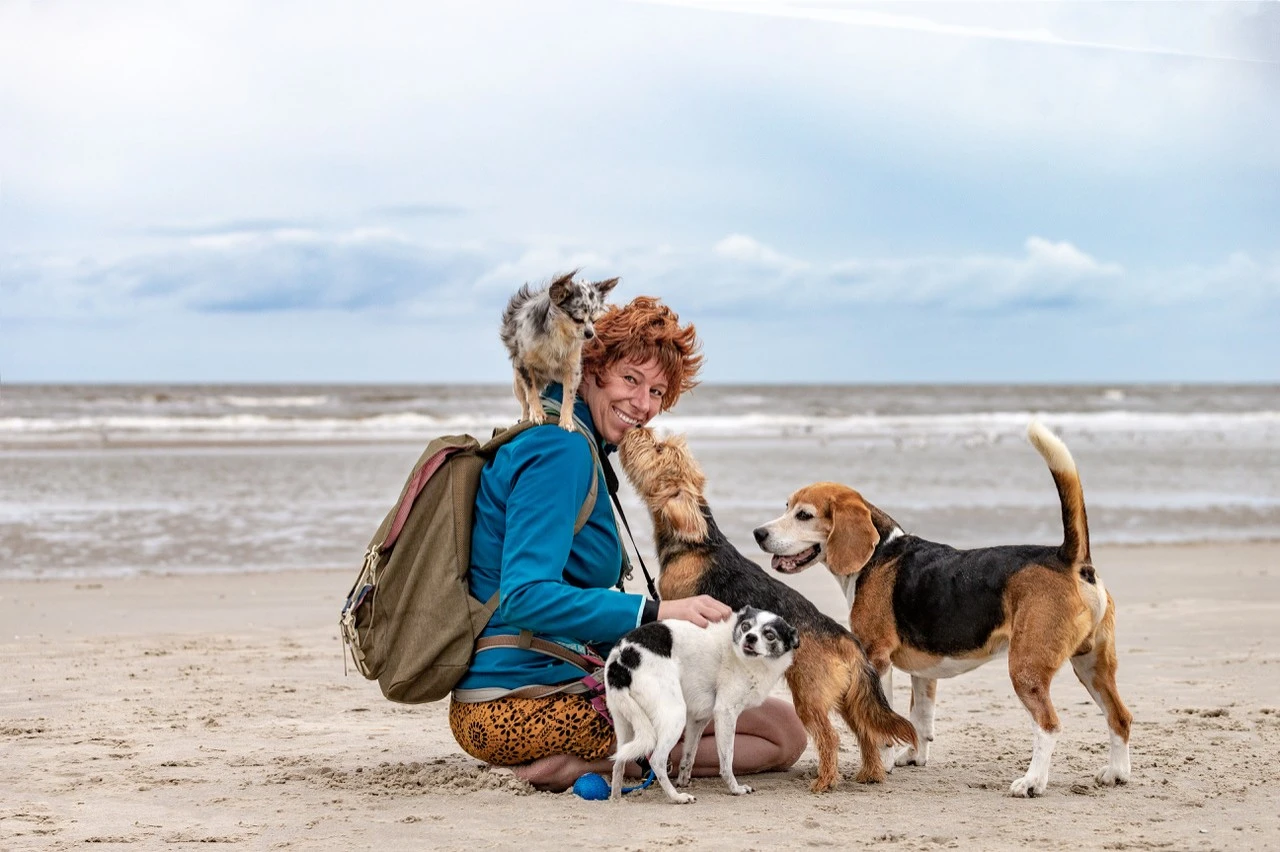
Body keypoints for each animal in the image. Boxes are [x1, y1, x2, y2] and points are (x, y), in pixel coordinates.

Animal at [499, 272, 619, 427]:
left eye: (595, 321)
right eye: (578, 319)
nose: (590, 334)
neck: (559, 335)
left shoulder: (573, 369)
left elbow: (568, 395)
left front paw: (566, 420)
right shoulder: (524, 364)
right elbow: (531, 392)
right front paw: (537, 413)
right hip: (517, 382)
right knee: (524, 403)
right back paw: (526, 417)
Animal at [601, 606, 798, 798]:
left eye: (770, 635)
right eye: (746, 627)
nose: (750, 637)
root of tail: (622, 657)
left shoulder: (698, 719)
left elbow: (689, 755)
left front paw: (684, 779)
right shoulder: (725, 713)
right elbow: (727, 760)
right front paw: (735, 788)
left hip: (625, 721)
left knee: (619, 762)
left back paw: (617, 797)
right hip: (674, 714)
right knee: (657, 760)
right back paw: (676, 797)